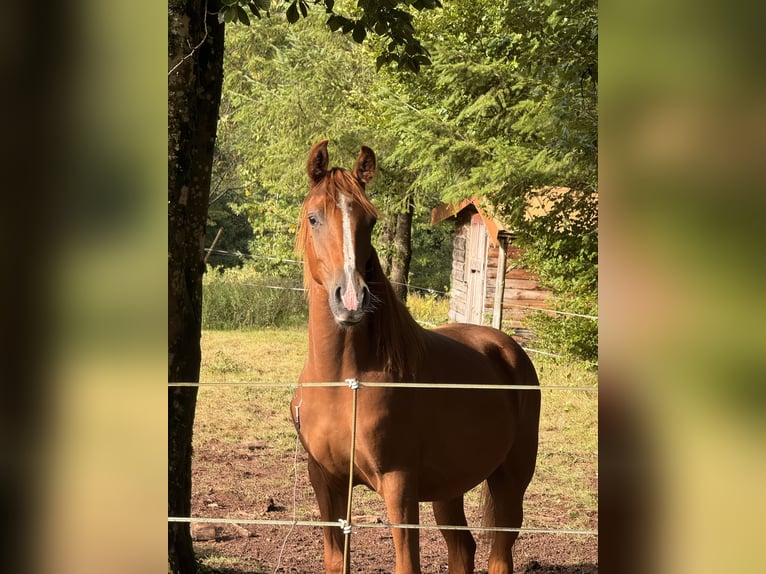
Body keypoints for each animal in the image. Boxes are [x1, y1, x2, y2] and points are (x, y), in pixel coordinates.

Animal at [291, 140, 541, 574]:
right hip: (449, 487)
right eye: (314, 217)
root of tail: (509, 351)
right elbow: (336, 561)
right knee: (463, 549)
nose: (352, 299)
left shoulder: (399, 485)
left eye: (370, 220)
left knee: (499, 554)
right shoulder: (326, 482)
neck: (345, 381)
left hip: (510, 479)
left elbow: (407, 563)